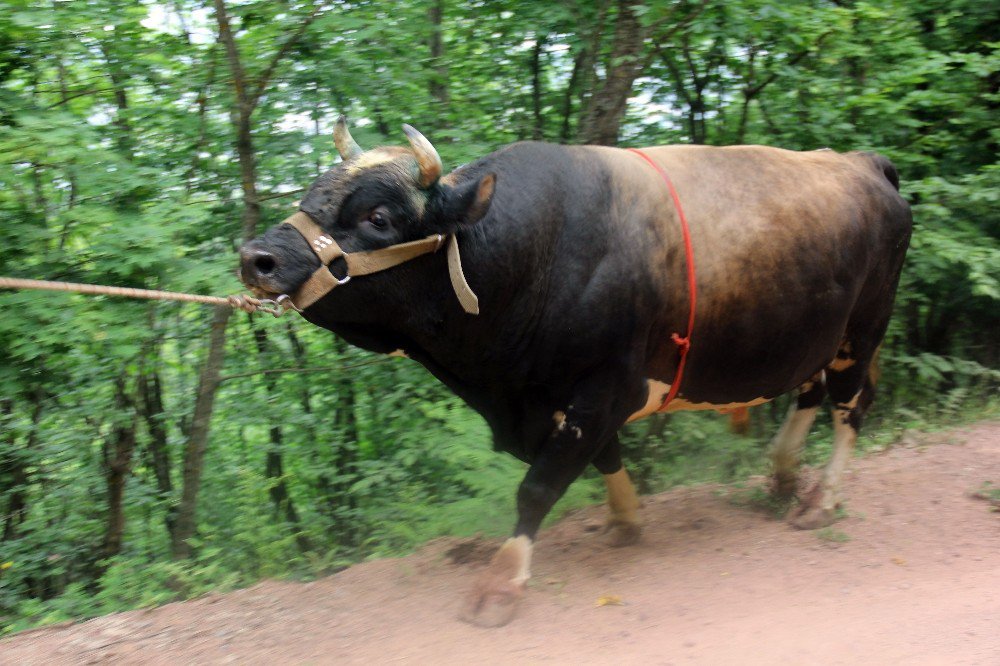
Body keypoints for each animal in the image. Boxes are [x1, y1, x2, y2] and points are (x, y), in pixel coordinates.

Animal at [238, 116, 912, 624]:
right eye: (309, 195)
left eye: (377, 217)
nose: (256, 257)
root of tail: (861, 161)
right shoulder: (567, 396)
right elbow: (605, 458)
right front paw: (625, 521)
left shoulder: (604, 387)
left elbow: (540, 484)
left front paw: (501, 583)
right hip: (814, 337)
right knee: (812, 394)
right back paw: (781, 475)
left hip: (862, 332)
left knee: (850, 406)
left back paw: (820, 500)